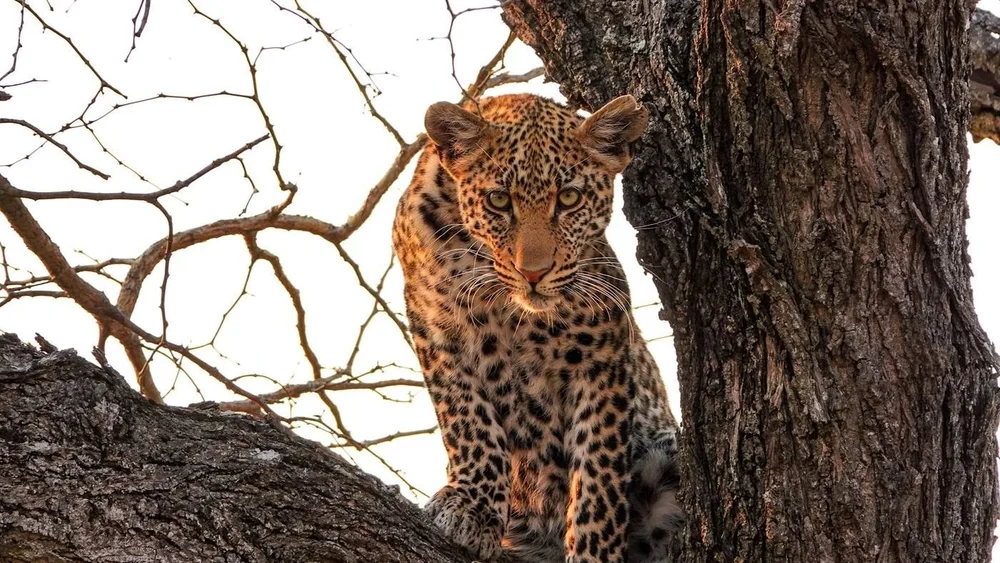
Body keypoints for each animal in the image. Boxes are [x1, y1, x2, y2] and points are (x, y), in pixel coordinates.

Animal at [392, 93, 682, 562]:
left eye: (569, 198)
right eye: (498, 201)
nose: (533, 273)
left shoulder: (602, 357)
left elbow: (598, 479)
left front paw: (592, 553)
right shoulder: (435, 330)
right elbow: (469, 421)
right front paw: (472, 509)